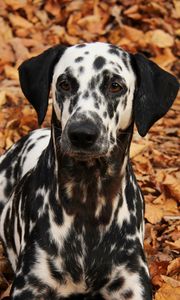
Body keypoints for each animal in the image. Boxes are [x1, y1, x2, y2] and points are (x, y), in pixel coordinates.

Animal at [0, 42, 178, 300]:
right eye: (64, 83)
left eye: (115, 86)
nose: (82, 133)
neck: (88, 197)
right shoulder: (32, 284)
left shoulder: (132, 281)